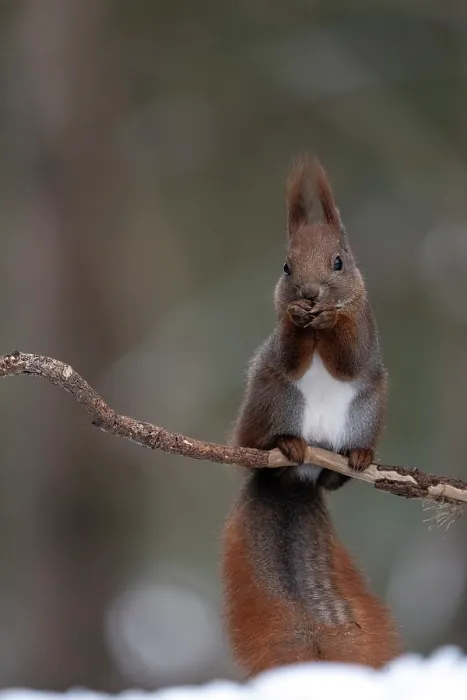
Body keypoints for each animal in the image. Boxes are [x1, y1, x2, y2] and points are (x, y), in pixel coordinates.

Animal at [222, 156, 401, 677]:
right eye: (285, 266)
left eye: (339, 261)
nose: (309, 291)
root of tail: (294, 479)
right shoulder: (282, 348)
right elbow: (289, 348)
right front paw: (300, 318)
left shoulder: (366, 333)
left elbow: (351, 354)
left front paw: (329, 318)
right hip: (274, 401)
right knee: (263, 442)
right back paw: (285, 445)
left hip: (366, 412)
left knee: (334, 477)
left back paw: (353, 460)